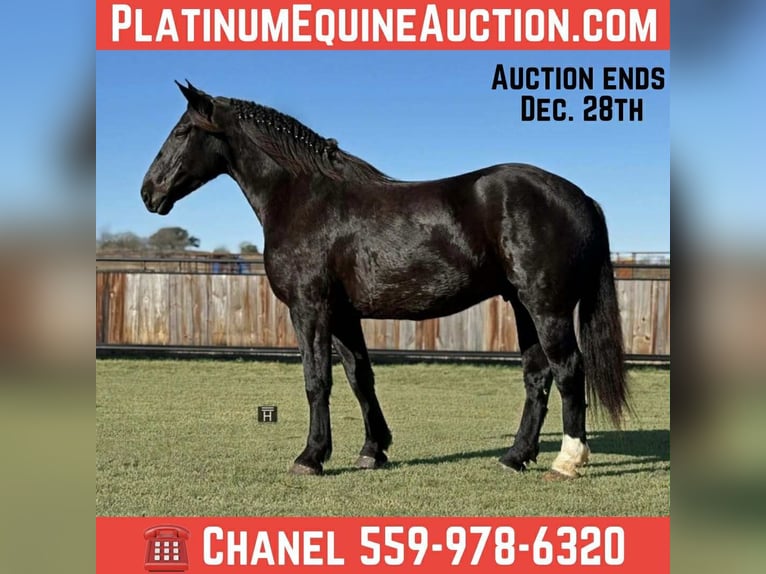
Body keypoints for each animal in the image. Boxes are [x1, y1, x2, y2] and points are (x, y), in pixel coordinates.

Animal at [140, 81, 629, 479]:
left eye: (182, 131)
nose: (149, 191)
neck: (305, 199)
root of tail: (580, 197)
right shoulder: (343, 314)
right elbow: (360, 377)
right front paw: (372, 451)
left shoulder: (310, 308)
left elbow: (317, 380)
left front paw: (311, 457)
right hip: (523, 306)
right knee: (537, 376)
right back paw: (514, 457)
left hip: (547, 306)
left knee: (569, 369)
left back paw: (567, 461)